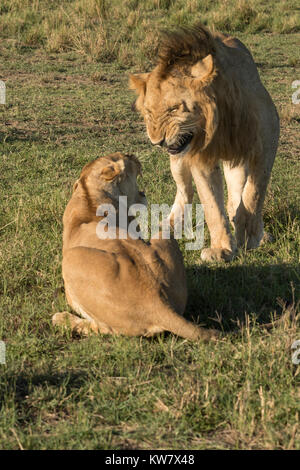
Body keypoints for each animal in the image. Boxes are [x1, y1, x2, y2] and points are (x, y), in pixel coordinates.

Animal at [52, 154, 219, 342]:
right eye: (120, 156)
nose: (131, 155)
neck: (91, 193)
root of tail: (157, 302)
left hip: (71, 259)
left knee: (102, 328)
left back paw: (61, 318)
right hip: (164, 235)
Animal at [130, 23, 280, 262]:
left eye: (174, 109)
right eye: (149, 112)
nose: (157, 141)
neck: (219, 121)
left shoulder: (268, 139)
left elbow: (254, 191)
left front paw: (250, 234)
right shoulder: (199, 157)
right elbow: (211, 203)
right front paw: (222, 249)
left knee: (237, 192)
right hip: (178, 162)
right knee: (185, 191)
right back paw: (168, 226)